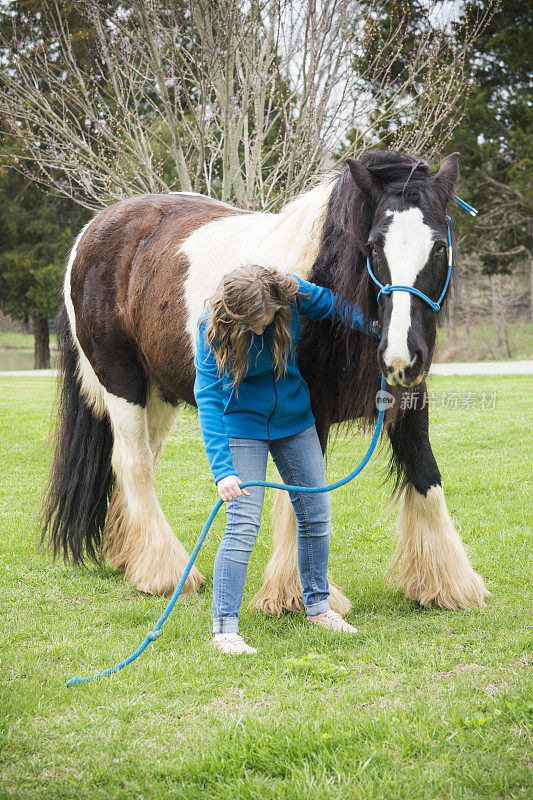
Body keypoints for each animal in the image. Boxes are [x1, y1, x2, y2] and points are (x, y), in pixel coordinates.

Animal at [43, 150, 488, 612]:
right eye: (372, 246)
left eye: (440, 246)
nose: (400, 355)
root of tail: (92, 231)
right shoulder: (309, 412)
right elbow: (304, 492)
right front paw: (295, 595)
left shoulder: (409, 399)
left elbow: (426, 475)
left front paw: (448, 584)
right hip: (121, 382)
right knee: (134, 464)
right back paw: (164, 573)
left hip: (160, 392)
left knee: (139, 458)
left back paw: (129, 556)